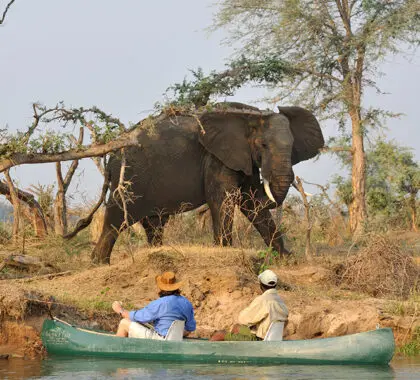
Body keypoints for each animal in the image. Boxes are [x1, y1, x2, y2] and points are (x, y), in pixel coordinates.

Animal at [92, 101, 324, 264]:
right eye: (264, 145)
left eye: (292, 145)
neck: (251, 116)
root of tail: (111, 157)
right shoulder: (217, 157)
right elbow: (225, 199)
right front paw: (225, 250)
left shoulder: (243, 157)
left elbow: (250, 203)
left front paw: (286, 258)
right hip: (130, 177)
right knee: (116, 218)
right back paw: (100, 263)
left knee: (154, 224)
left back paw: (156, 251)